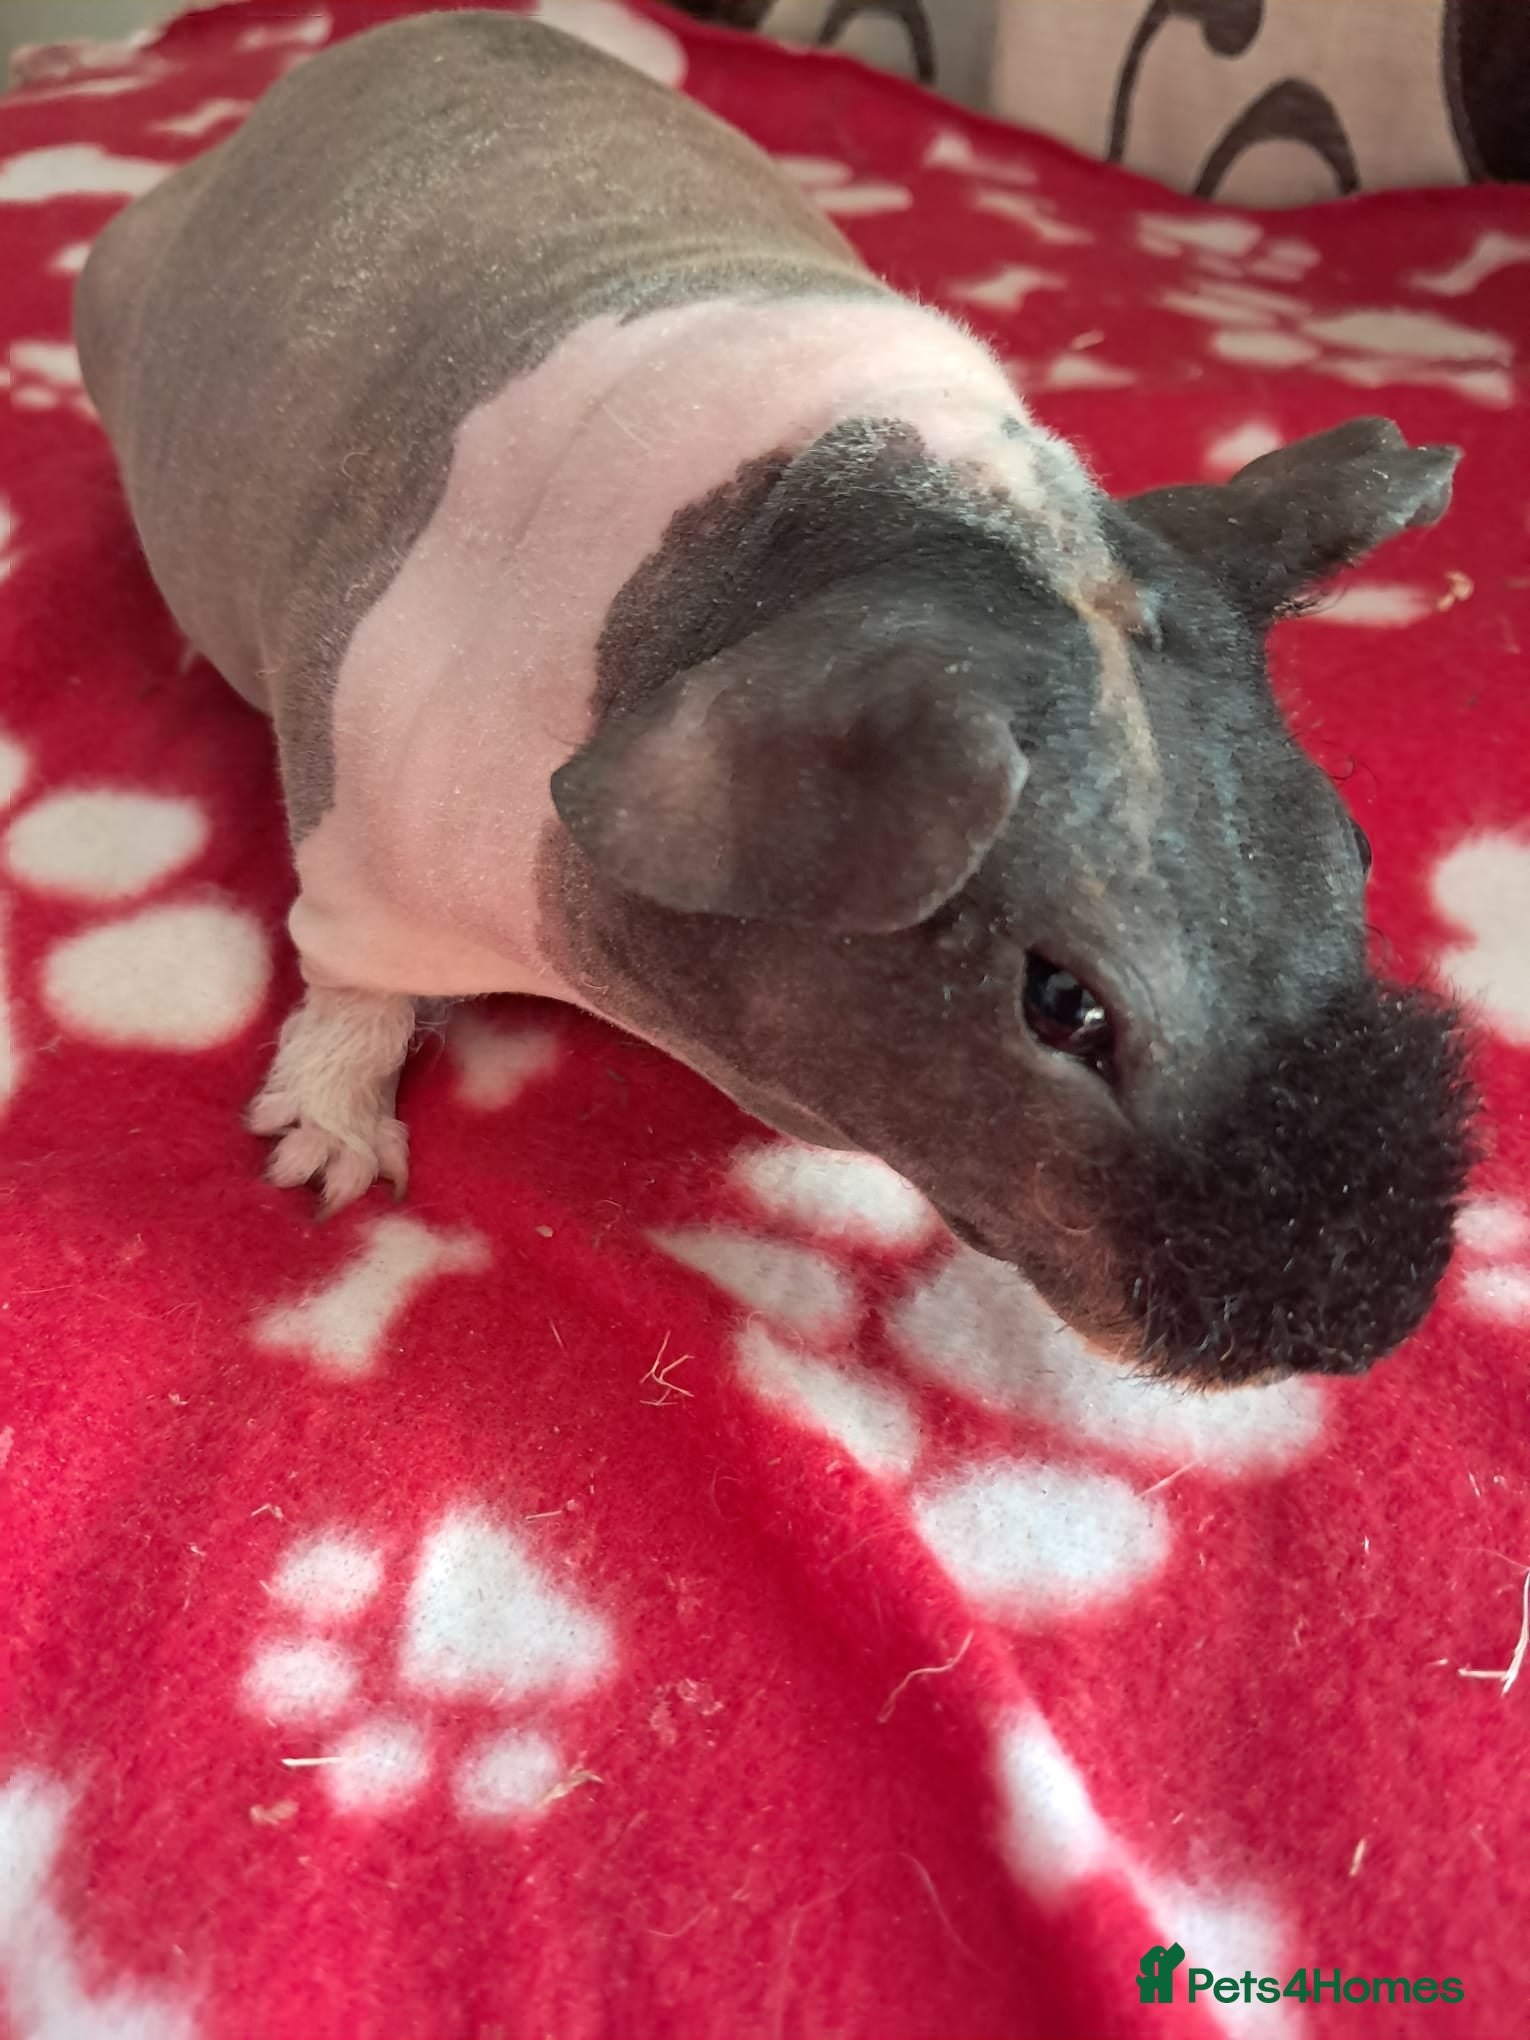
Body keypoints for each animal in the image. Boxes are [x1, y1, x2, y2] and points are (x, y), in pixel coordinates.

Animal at [74, 9, 1474, 1387]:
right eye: (1063, 1004)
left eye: (1356, 852)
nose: (1368, 1325)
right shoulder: (359, 849)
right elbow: (350, 987)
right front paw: (328, 1164)